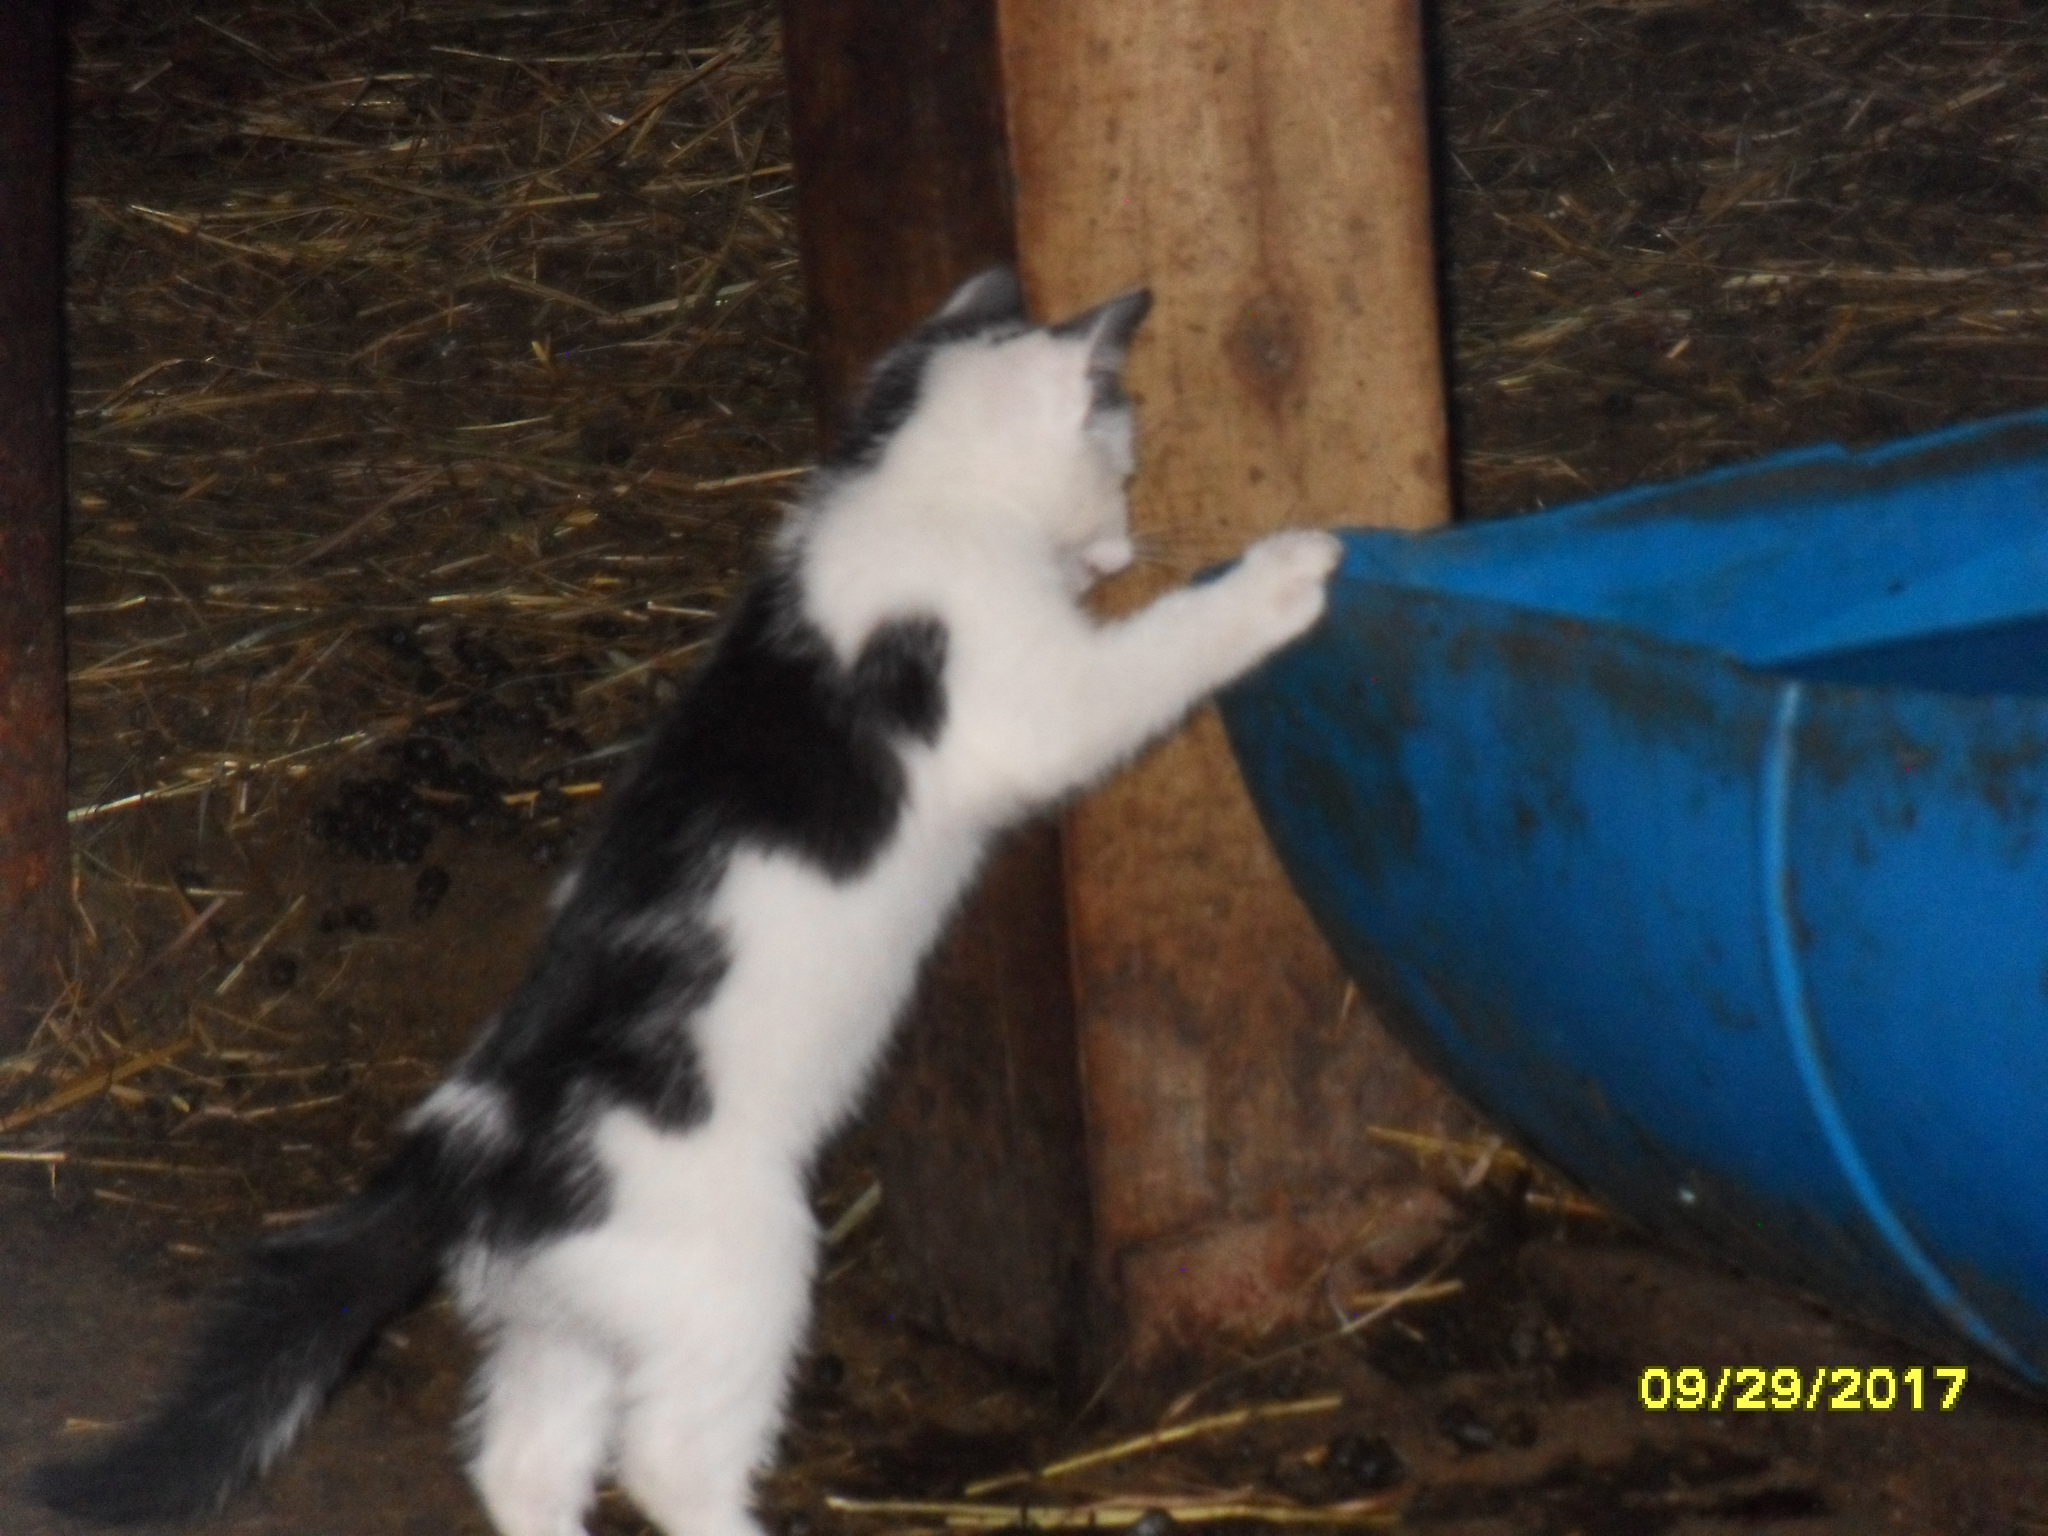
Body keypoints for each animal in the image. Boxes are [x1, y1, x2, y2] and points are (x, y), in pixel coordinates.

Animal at [35, 266, 1342, 1536]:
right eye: (1120, 468)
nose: (1115, 553)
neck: (905, 496)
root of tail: (471, 1143)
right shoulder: (1028, 703)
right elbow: (1149, 660)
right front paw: (1283, 574)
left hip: (563, 1320)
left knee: (520, 1466)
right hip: (737, 1283)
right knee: (665, 1467)